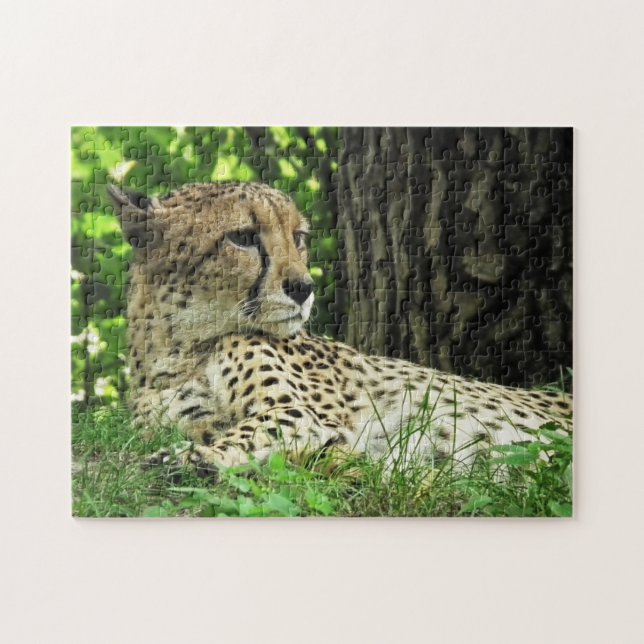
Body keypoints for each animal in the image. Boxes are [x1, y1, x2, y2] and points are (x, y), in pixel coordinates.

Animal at [107, 181, 572, 474]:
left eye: (299, 237)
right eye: (243, 237)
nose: (304, 287)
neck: (178, 350)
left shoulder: (299, 415)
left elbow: (250, 432)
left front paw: (188, 460)